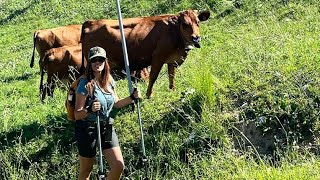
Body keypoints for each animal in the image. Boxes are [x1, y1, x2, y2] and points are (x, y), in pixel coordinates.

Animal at [81, 9, 209, 98]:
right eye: (184, 24)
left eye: (198, 22)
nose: (196, 38)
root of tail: (91, 22)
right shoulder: (157, 57)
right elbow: (153, 77)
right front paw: (149, 95)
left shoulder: (172, 59)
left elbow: (171, 75)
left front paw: (172, 89)